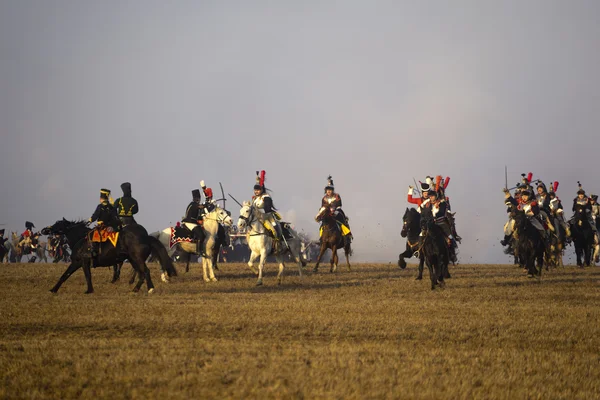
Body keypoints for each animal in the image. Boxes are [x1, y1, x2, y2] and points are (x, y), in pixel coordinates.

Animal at [42, 219, 176, 294]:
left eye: (58, 224)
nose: (44, 230)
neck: (80, 240)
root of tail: (146, 237)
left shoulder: (82, 262)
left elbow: (85, 276)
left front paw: (89, 290)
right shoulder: (77, 262)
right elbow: (65, 275)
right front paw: (53, 289)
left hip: (137, 259)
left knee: (145, 272)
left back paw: (150, 289)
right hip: (133, 260)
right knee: (141, 273)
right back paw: (136, 289)